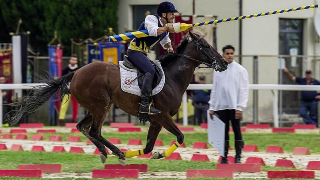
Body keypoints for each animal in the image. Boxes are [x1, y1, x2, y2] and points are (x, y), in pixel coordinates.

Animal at [7, 32, 228, 165]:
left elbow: (149, 146)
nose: (224, 62)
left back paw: (107, 152)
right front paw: (156, 154)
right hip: (101, 105)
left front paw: (152, 153)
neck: (173, 77)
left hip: (95, 107)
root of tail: (76, 72)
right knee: (94, 131)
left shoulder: (156, 121)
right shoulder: (163, 116)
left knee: (82, 127)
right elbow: (180, 136)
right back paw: (118, 153)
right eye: (206, 45)